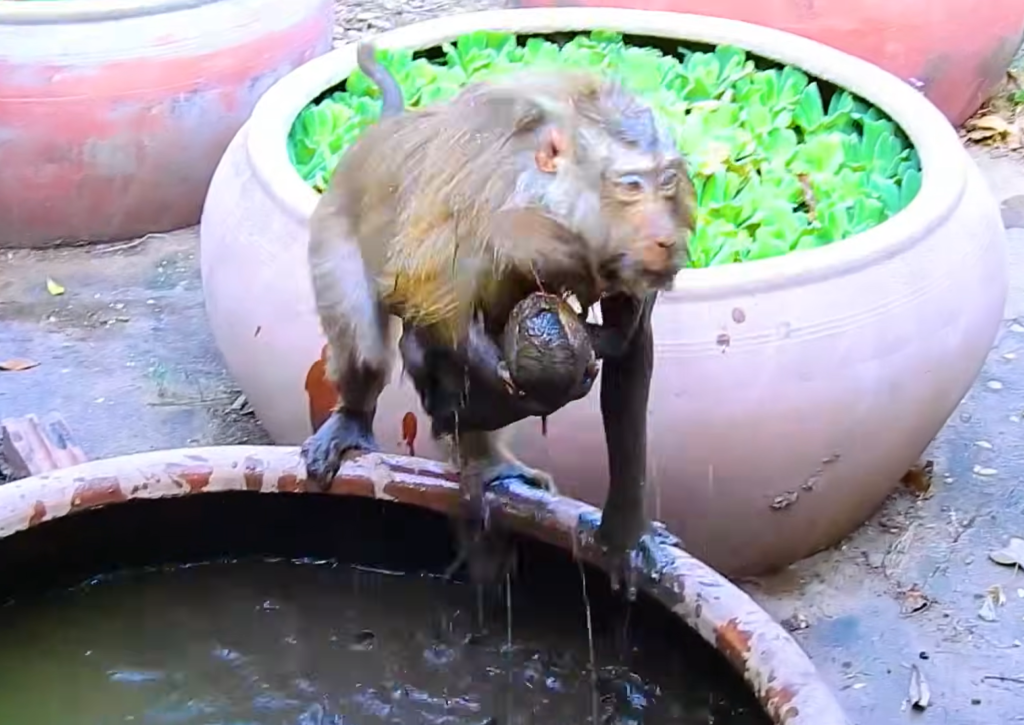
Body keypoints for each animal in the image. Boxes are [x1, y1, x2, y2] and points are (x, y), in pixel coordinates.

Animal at [302, 41, 696, 597]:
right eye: (630, 186)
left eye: (667, 183)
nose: (663, 236)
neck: (545, 207)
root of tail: (378, 134)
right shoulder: (481, 194)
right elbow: (423, 290)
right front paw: (511, 381)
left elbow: (630, 362)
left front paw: (623, 540)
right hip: (333, 227)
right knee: (370, 350)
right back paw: (359, 418)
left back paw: (488, 466)